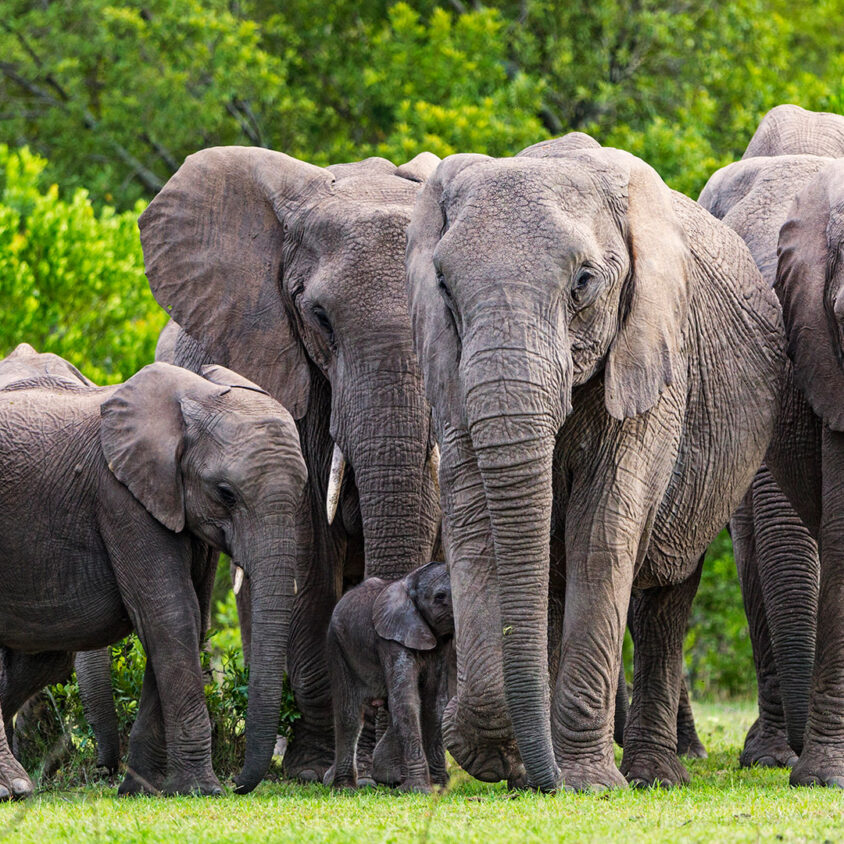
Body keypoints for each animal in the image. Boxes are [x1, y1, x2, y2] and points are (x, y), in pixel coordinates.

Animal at [0, 344, 306, 796]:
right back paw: (15, 788)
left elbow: (189, 618)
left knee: (41, 660)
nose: (238, 784)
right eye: (226, 493)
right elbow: (170, 615)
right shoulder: (120, 497)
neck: (193, 398)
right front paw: (202, 791)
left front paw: (142, 790)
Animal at [326, 560, 454, 792]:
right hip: (337, 647)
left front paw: (439, 787)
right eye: (439, 597)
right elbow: (406, 701)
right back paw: (345, 788)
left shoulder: (440, 647)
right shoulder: (389, 639)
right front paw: (419, 790)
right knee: (349, 714)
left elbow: (434, 703)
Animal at [408, 138, 784, 792]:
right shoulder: (448, 372)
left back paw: (655, 776)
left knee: (664, 598)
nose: (545, 781)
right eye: (445, 287)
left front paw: (584, 783)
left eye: (584, 282)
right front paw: (500, 759)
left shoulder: (652, 360)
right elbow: (475, 527)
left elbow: (603, 533)